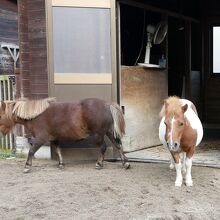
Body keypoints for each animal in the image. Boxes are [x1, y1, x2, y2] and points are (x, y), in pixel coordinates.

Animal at [0, 97, 130, 172]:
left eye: (0, 115)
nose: (1, 133)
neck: (36, 115)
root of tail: (108, 104)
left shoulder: (40, 139)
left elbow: (31, 151)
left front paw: (27, 166)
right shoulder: (54, 139)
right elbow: (58, 151)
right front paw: (61, 164)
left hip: (98, 134)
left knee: (103, 147)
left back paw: (99, 164)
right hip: (109, 132)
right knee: (118, 145)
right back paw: (125, 163)